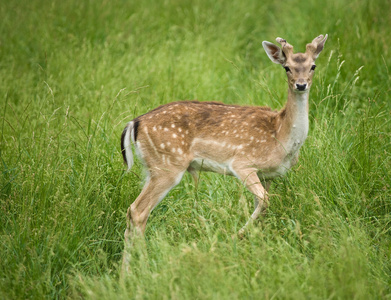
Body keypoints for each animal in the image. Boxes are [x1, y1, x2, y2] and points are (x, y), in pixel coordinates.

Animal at [121, 34, 330, 266]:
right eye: (287, 67)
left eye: (313, 66)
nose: (301, 85)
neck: (280, 136)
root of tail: (134, 123)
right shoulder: (242, 163)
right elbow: (264, 200)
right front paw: (235, 236)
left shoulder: (268, 175)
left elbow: (263, 205)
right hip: (167, 166)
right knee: (138, 211)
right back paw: (142, 265)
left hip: (151, 169)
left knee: (133, 211)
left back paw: (126, 270)